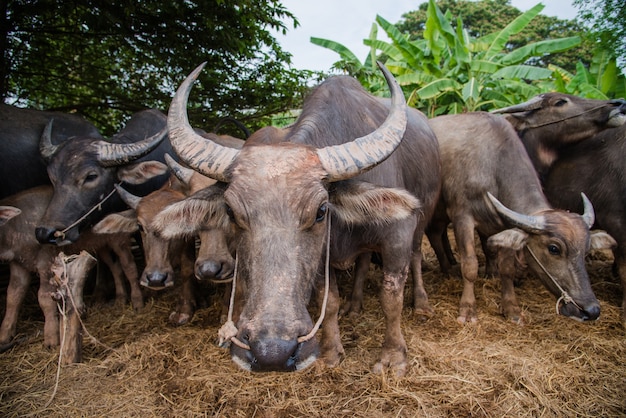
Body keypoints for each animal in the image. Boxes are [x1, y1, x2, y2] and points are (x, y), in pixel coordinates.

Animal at [155, 62, 438, 376]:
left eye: (321, 211)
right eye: (230, 211)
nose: (272, 352)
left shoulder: (398, 236)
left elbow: (391, 298)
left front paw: (393, 357)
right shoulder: (322, 259)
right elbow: (329, 301)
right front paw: (330, 352)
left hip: (421, 223)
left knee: (416, 257)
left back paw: (422, 304)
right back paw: (355, 305)